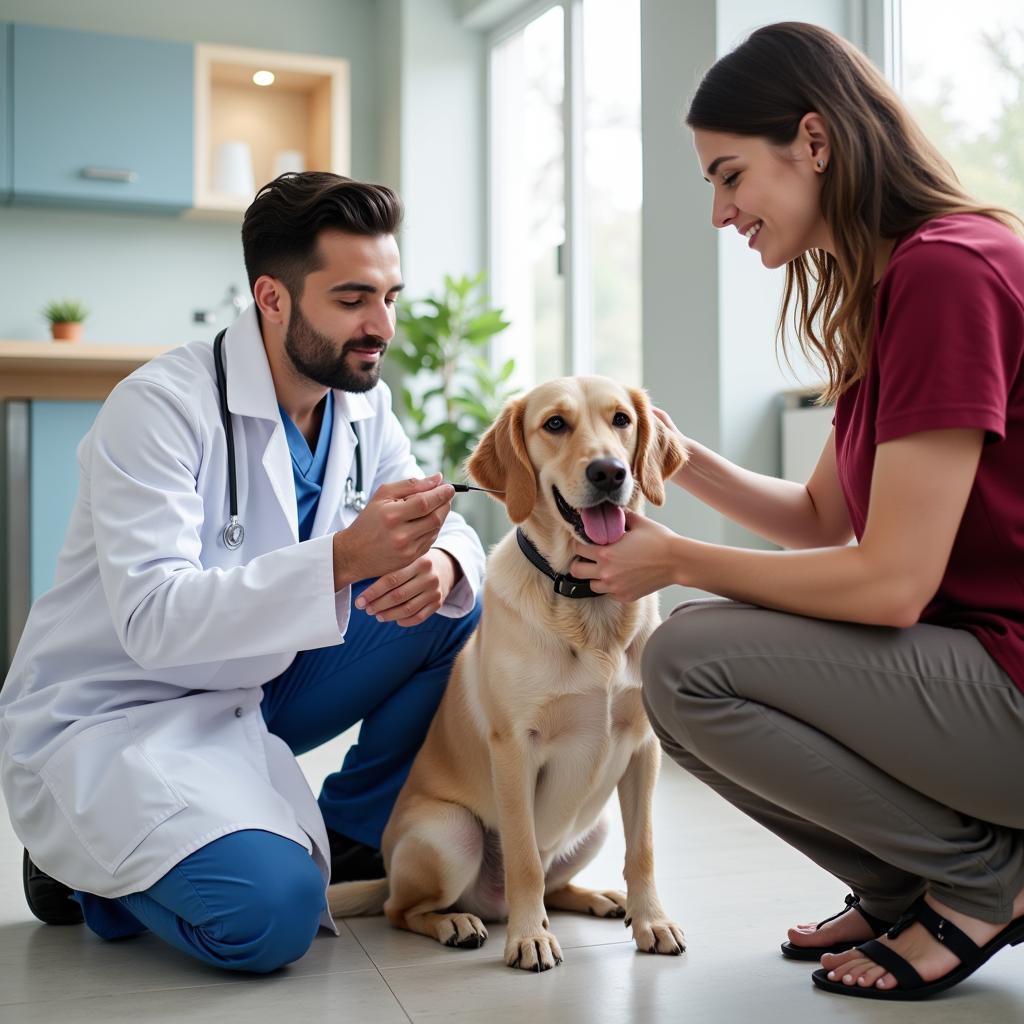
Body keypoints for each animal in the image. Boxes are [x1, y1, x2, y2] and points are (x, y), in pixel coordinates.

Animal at [331, 380, 688, 970]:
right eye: (555, 424)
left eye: (621, 419)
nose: (609, 472)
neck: (585, 600)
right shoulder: (515, 749)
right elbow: (523, 859)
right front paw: (528, 939)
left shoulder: (643, 748)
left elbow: (644, 850)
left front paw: (652, 921)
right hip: (452, 834)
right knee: (401, 910)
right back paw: (459, 922)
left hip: (594, 826)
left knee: (556, 882)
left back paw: (599, 898)